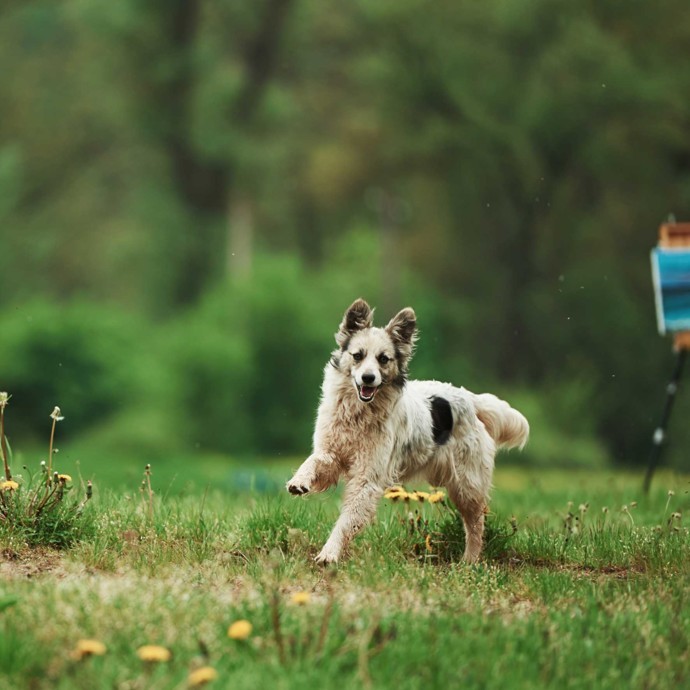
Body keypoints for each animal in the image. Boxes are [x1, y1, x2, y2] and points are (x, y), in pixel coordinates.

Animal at [284, 298, 528, 560]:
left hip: (467, 485)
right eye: (358, 355)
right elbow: (313, 461)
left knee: (475, 524)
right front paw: (299, 481)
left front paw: (330, 552)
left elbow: (347, 519)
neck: (359, 414)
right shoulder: (331, 454)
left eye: (383, 359)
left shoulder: (367, 478)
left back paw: (469, 561)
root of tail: (469, 398)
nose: (368, 378)